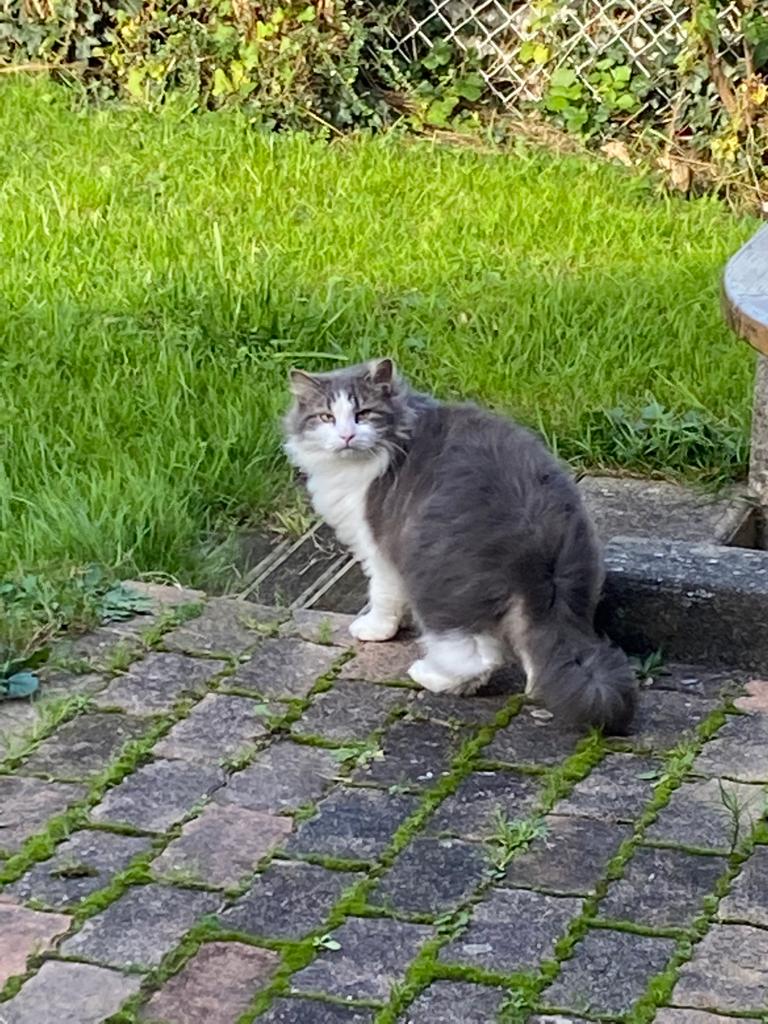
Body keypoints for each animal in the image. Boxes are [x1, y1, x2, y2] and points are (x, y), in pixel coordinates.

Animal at [282, 356, 638, 733]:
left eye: (363, 413)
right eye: (326, 417)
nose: (346, 435)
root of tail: (539, 533)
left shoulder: (378, 548)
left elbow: (383, 594)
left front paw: (375, 629)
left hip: (436, 581)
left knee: (477, 659)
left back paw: (429, 675)